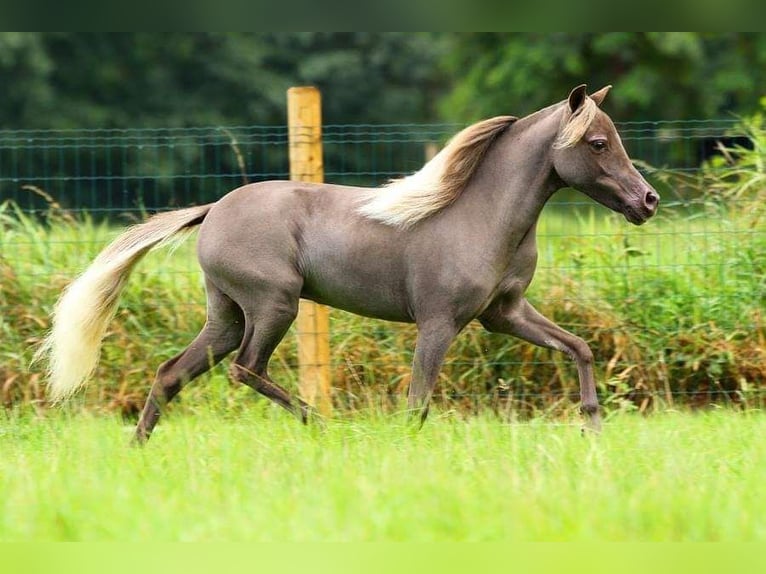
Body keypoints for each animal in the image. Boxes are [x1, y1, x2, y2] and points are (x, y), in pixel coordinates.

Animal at [39, 84, 659, 443]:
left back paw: (138, 451)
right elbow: (418, 403)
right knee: (245, 369)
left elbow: (579, 347)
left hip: (228, 314)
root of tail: (213, 210)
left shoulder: (504, 314)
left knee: (172, 373)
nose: (648, 201)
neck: (480, 214)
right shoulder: (439, 323)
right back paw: (326, 426)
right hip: (274, 305)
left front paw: (593, 428)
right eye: (598, 143)